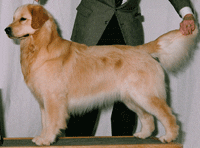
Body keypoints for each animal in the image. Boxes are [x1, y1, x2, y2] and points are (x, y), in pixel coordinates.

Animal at [5, 3, 198, 146]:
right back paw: (143, 135)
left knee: (168, 115)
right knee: (148, 117)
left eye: (23, 19)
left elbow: (52, 122)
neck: (39, 46)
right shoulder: (43, 101)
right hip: (131, 98)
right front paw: (43, 137)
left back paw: (169, 137)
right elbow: (45, 122)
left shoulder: (53, 98)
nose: (6, 30)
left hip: (145, 95)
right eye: (13, 18)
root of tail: (141, 49)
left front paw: (46, 139)